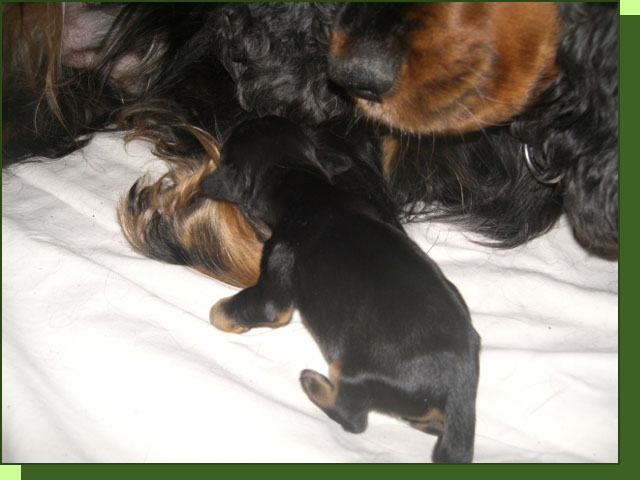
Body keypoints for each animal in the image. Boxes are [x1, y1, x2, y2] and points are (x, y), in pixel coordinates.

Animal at [201, 115, 481, 463]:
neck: (303, 183)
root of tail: (459, 386)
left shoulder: (274, 284)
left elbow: (229, 309)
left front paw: (226, 316)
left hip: (352, 373)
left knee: (352, 417)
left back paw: (314, 384)